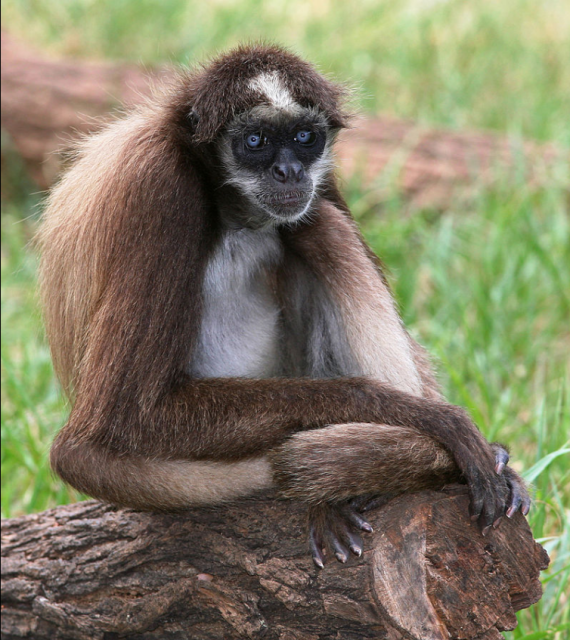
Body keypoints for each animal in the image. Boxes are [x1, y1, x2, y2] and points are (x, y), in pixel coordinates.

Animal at [38, 44, 530, 568]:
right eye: (255, 141)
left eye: (304, 137)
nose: (289, 171)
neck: (233, 211)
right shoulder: (162, 188)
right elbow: (124, 419)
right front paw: (419, 415)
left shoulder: (319, 180)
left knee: (314, 224)